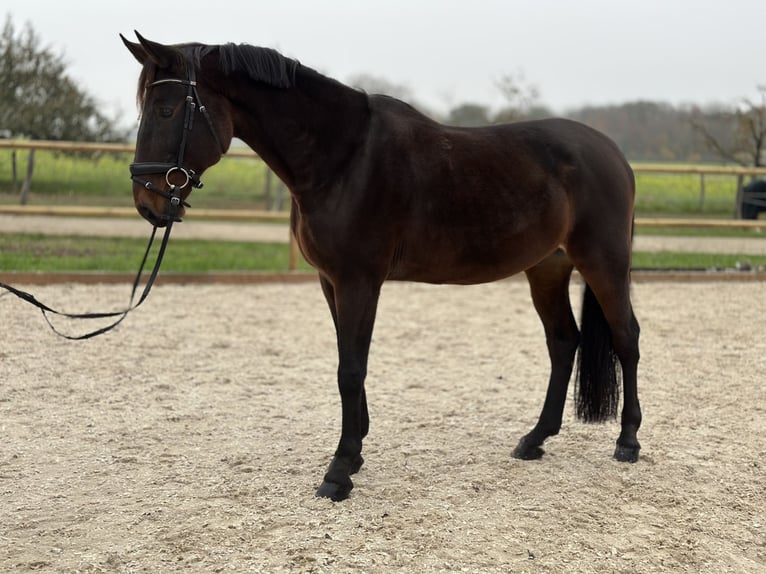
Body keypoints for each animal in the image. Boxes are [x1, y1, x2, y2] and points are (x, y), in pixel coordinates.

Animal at [120, 31, 644, 502]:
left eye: (166, 110)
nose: (148, 203)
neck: (342, 157)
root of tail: (614, 154)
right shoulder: (331, 281)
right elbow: (347, 361)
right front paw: (354, 454)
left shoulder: (359, 280)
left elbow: (350, 370)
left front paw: (337, 473)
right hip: (547, 268)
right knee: (563, 342)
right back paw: (534, 440)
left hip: (602, 261)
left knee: (626, 338)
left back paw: (628, 442)